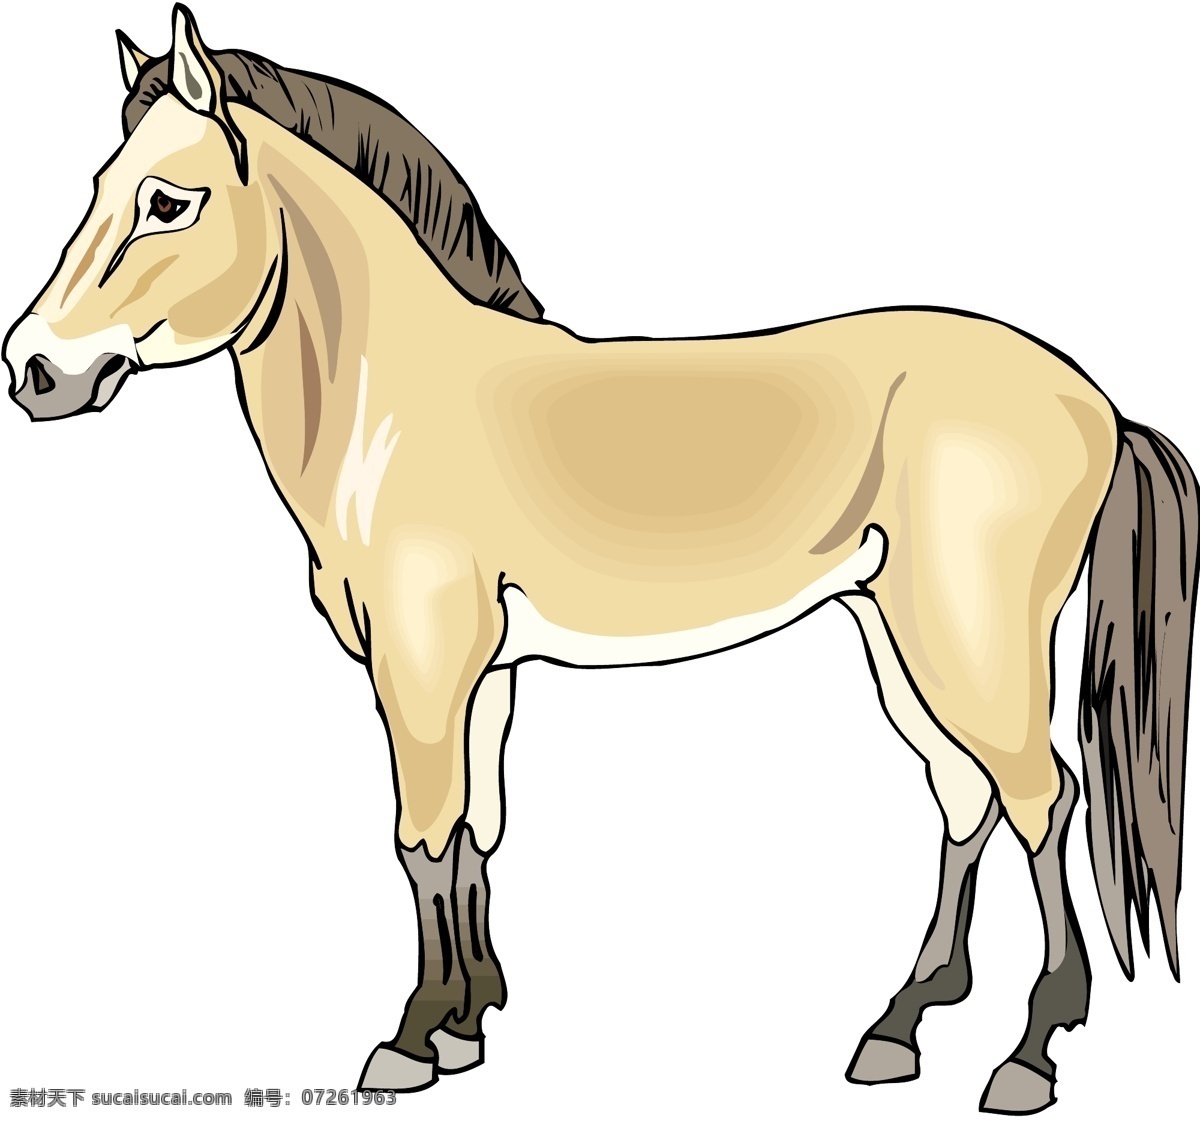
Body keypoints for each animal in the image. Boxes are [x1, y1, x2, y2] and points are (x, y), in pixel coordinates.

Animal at [4, 6, 1195, 1113]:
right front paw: (467, 1023)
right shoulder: (482, 675)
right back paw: (896, 1027)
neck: (396, 404)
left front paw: (410, 1039)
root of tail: (1097, 401)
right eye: (98, 185)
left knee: (1043, 799)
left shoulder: (421, 666)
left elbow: (420, 834)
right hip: (895, 636)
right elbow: (476, 831)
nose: (33, 370)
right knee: (964, 800)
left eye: (169, 200)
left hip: (969, 637)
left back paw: (1028, 1054)